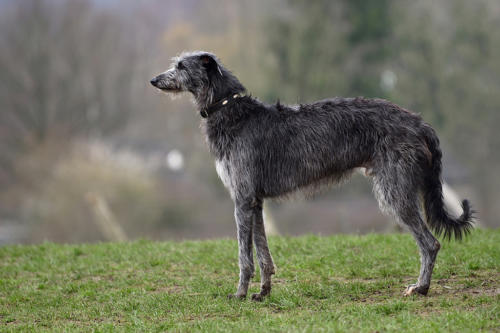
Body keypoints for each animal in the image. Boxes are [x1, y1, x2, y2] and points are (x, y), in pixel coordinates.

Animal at [150, 50, 474, 300]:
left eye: (181, 66)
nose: (153, 80)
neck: (230, 109)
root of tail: (420, 123)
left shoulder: (241, 199)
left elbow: (245, 256)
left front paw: (240, 293)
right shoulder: (255, 201)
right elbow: (263, 253)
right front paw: (263, 292)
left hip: (395, 191)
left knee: (430, 243)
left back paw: (421, 288)